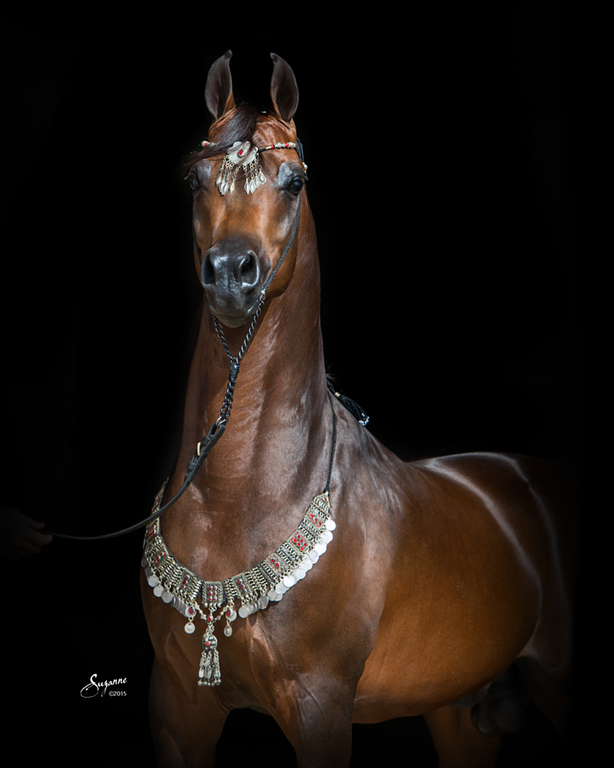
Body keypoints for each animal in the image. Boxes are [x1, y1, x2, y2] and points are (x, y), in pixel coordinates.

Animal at [140, 51, 577, 768]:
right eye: (193, 178)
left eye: (293, 181)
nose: (232, 272)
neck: (237, 497)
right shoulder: (179, 709)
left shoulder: (321, 706)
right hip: (461, 714)